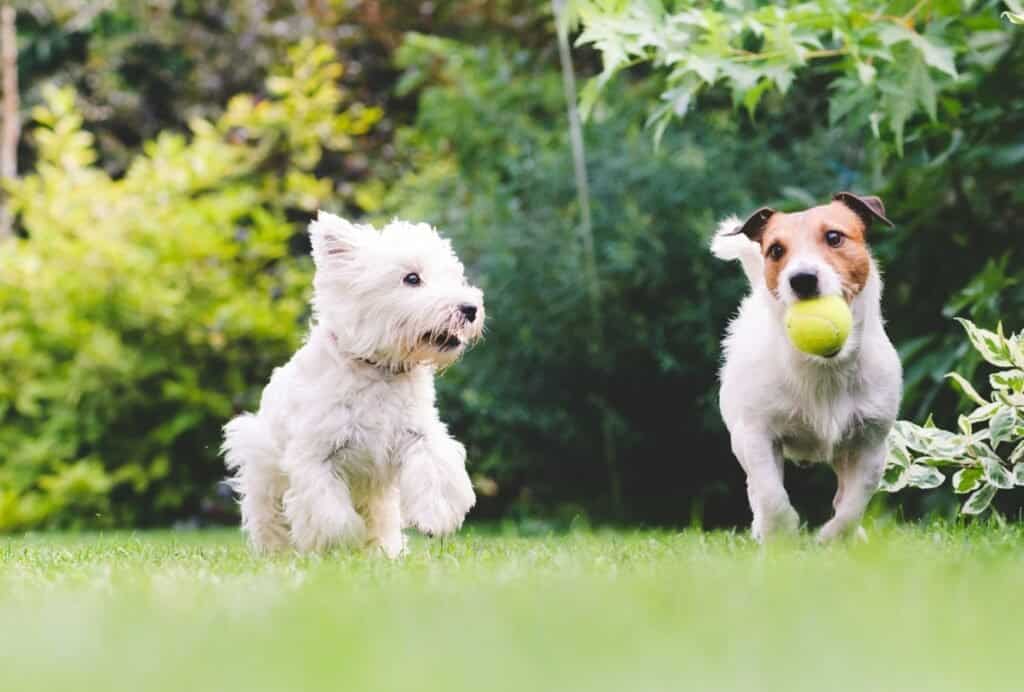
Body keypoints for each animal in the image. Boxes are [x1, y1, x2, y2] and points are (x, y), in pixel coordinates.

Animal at [221, 210, 483, 556]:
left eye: (454, 276)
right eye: (412, 278)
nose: (470, 309)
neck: (379, 370)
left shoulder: (417, 432)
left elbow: (435, 466)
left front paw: (435, 518)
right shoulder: (316, 454)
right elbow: (331, 514)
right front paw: (340, 544)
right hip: (262, 468)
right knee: (269, 517)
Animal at [712, 191, 905, 544]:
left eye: (834, 237)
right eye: (776, 250)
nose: (802, 279)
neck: (824, 366)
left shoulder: (871, 442)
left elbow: (854, 502)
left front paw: (834, 536)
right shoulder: (757, 435)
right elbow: (771, 494)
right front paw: (782, 532)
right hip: (741, 437)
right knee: (756, 488)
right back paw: (762, 528)